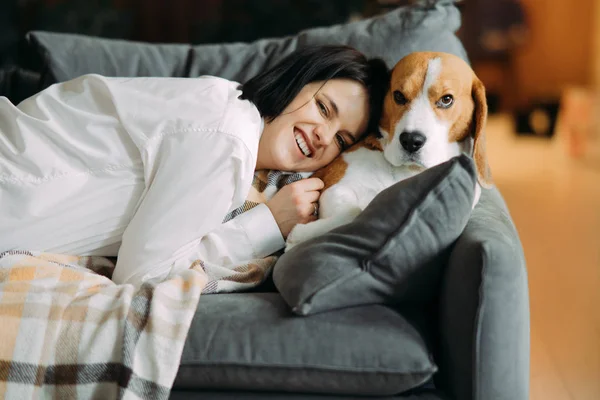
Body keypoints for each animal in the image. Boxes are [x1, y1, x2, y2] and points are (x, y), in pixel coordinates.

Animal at [286, 50, 492, 250]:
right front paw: (299, 236)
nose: (410, 140)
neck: (407, 172)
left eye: (447, 99)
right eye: (399, 96)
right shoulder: (335, 188)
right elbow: (355, 210)